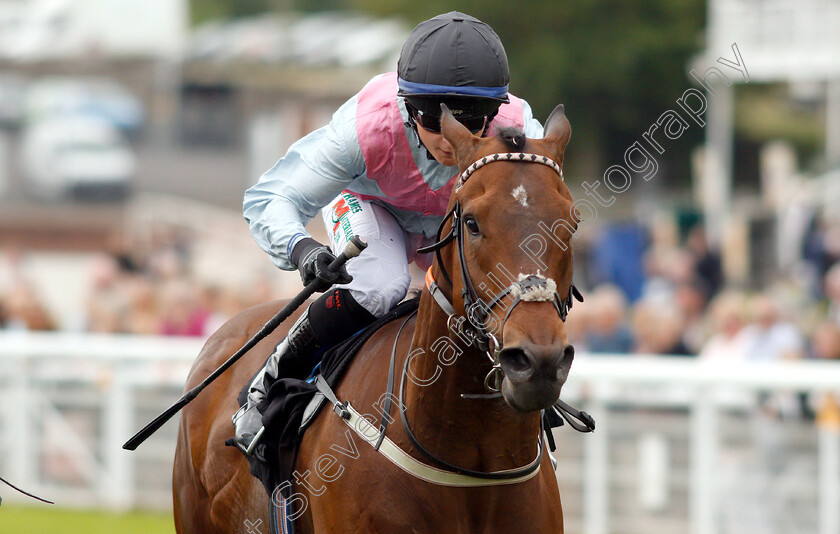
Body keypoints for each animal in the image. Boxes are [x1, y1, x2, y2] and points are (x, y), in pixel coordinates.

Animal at [171, 104, 576, 534]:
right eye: (472, 223)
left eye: (572, 222)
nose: (539, 361)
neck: (468, 458)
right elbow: (273, 195)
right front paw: (316, 263)